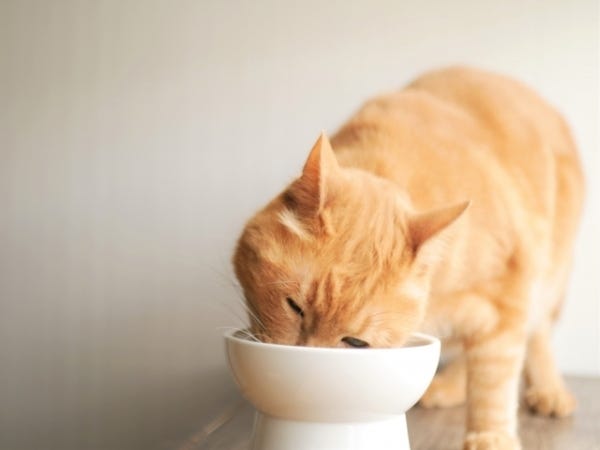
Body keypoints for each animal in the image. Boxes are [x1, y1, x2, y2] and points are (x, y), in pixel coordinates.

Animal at [232, 66, 584, 450]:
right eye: (294, 307)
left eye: (356, 343)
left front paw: (492, 436)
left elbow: (495, 377)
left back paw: (548, 390)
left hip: (548, 276)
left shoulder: (505, 298)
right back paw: (449, 388)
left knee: (535, 334)